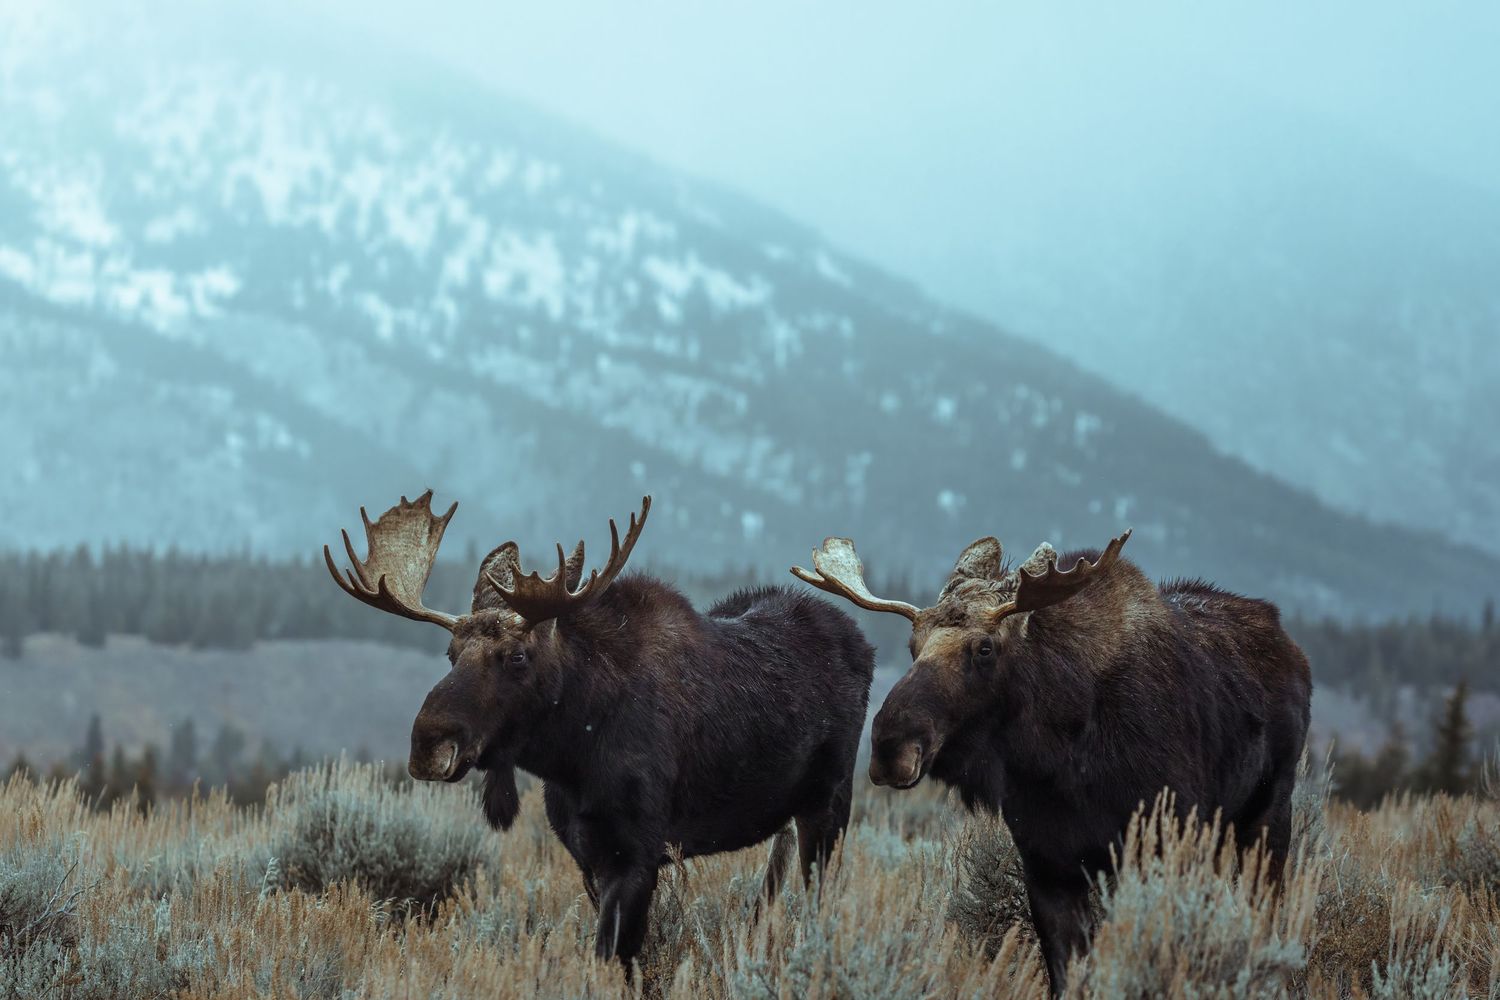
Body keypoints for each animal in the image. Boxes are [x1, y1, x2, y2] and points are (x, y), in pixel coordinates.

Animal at [324, 491, 875, 970]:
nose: (427, 745)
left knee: (819, 899)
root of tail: (861, 642)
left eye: (517, 656)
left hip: (829, 804)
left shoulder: (637, 855)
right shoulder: (586, 856)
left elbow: (614, 960)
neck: (572, 757)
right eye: (450, 653)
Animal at [791, 530, 1311, 993]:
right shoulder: (1048, 864)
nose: (890, 746)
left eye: (985, 648)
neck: (1060, 761)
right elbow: (1066, 974)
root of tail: (1293, 649)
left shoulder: (1154, 849)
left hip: (1267, 816)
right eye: (913, 646)